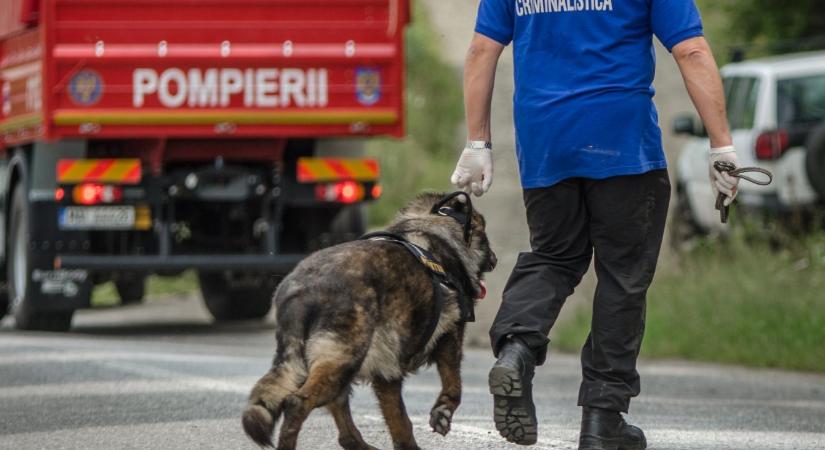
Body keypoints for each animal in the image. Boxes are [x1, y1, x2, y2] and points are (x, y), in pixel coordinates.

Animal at [238, 192, 496, 448]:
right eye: (484, 235)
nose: (494, 260)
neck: (431, 226)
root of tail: (302, 289)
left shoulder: (387, 372)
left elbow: (399, 422)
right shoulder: (448, 339)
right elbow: (453, 385)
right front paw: (442, 412)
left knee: (342, 426)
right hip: (343, 358)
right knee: (297, 403)